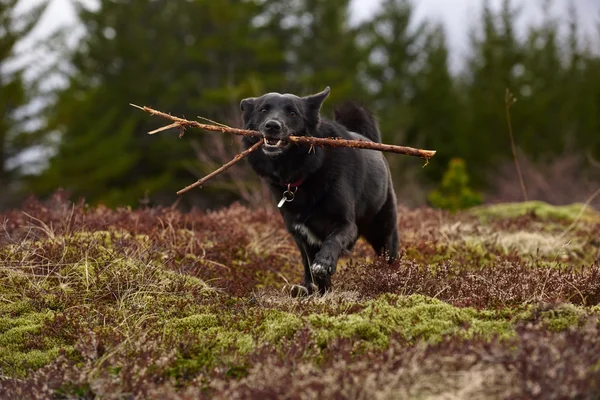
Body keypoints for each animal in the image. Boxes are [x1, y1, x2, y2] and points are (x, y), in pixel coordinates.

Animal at [239, 86, 398, 296]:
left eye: (293, 113)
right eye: (263, 110)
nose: (272, 126)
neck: (305, 173)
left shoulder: (346, 225)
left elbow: (332, 241)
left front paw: (324, 264)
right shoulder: (301, 233)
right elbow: (311, 265)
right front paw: (321, 292)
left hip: (382, 230)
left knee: (390, 256)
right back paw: (303, 288)